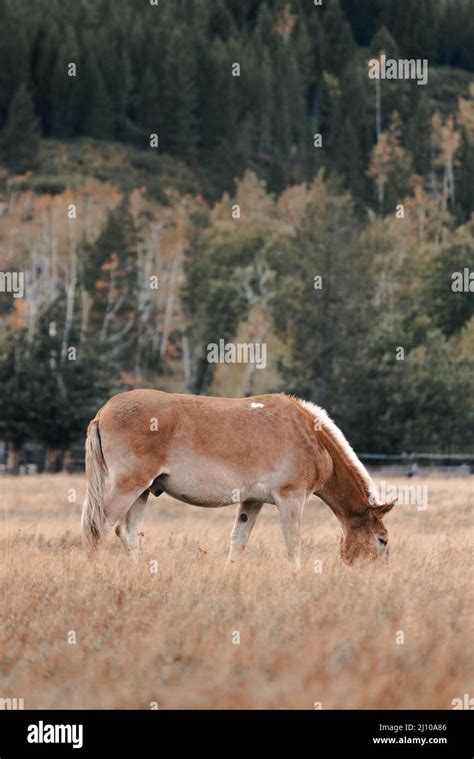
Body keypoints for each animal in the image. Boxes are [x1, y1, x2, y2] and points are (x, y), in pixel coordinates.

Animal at [82, 392, 396, 568]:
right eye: (382, 540)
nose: (380, 574)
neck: (309, 434)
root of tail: (103, 412)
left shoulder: (252, 502)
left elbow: (238, 542)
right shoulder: (291, 500)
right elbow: (293, 544)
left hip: (143, 491)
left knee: (127, 532)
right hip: (128, 486)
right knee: (99, 527)